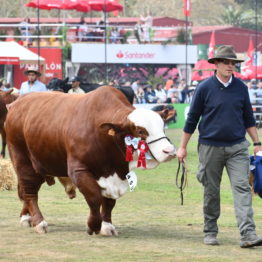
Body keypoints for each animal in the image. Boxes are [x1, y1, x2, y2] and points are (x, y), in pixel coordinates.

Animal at [5, 86, 175, 235]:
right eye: (140, 131)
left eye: (162, 127)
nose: (170, 151)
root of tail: (16, 103)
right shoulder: (79, 169)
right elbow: (94, 197)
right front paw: (93, 225)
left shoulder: (117, 174)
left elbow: (109, 202)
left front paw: (107, 226)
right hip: (23, 161)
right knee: (30, 191)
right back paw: (39, 222)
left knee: (26, 191)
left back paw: (27, 217)